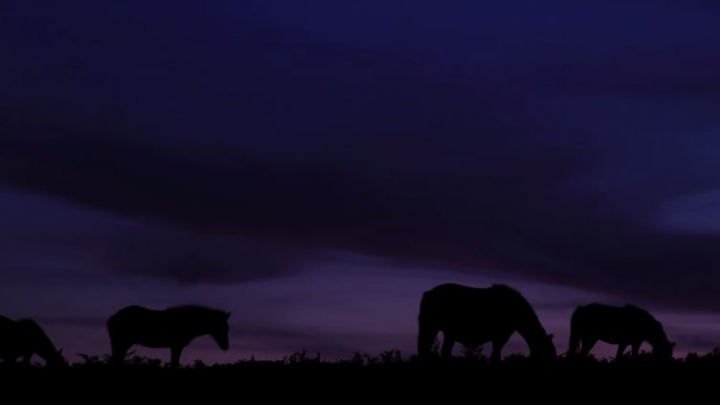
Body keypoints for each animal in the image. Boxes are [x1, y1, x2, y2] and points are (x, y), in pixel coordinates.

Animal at [416, 282, 556, 362]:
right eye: (548, 354)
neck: (515, 308)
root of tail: (428, 293)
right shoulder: (500, 337)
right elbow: (496, 356)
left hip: (444, 332)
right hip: (434, 328)